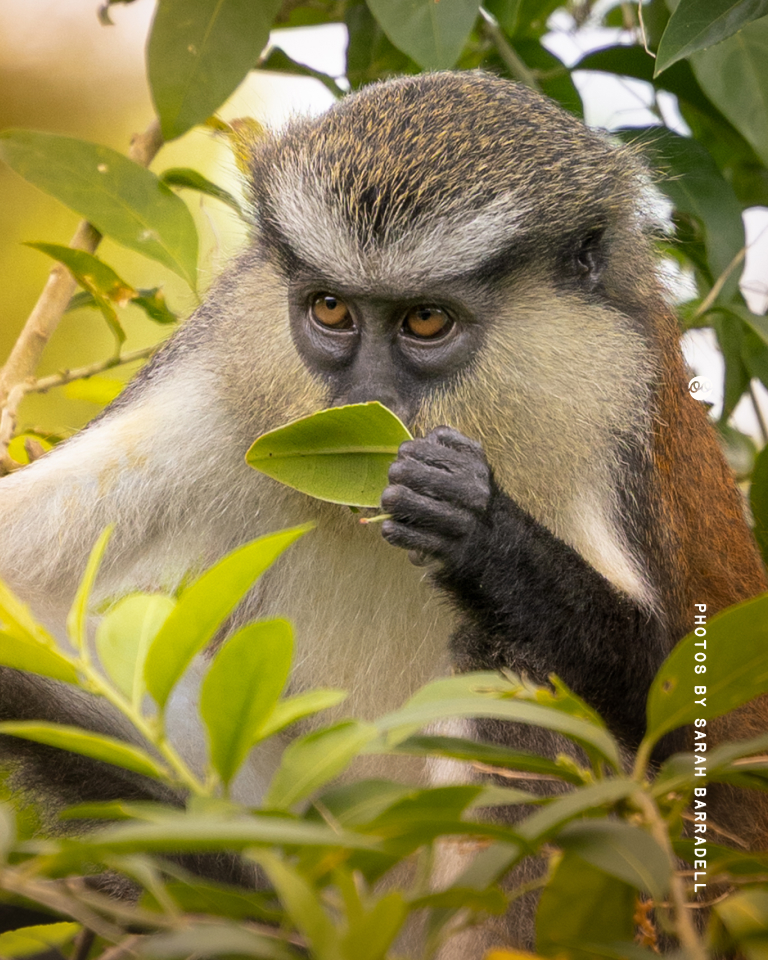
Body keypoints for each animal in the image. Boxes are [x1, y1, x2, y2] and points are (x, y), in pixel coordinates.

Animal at [0, 71, 767, 952]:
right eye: (332, 310)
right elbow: (28, 594)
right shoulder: (217, 388)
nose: (360, 405)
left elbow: (679, 713)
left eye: (426, 320)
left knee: (501, 654)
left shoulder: (614, 422)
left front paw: (482, 536)